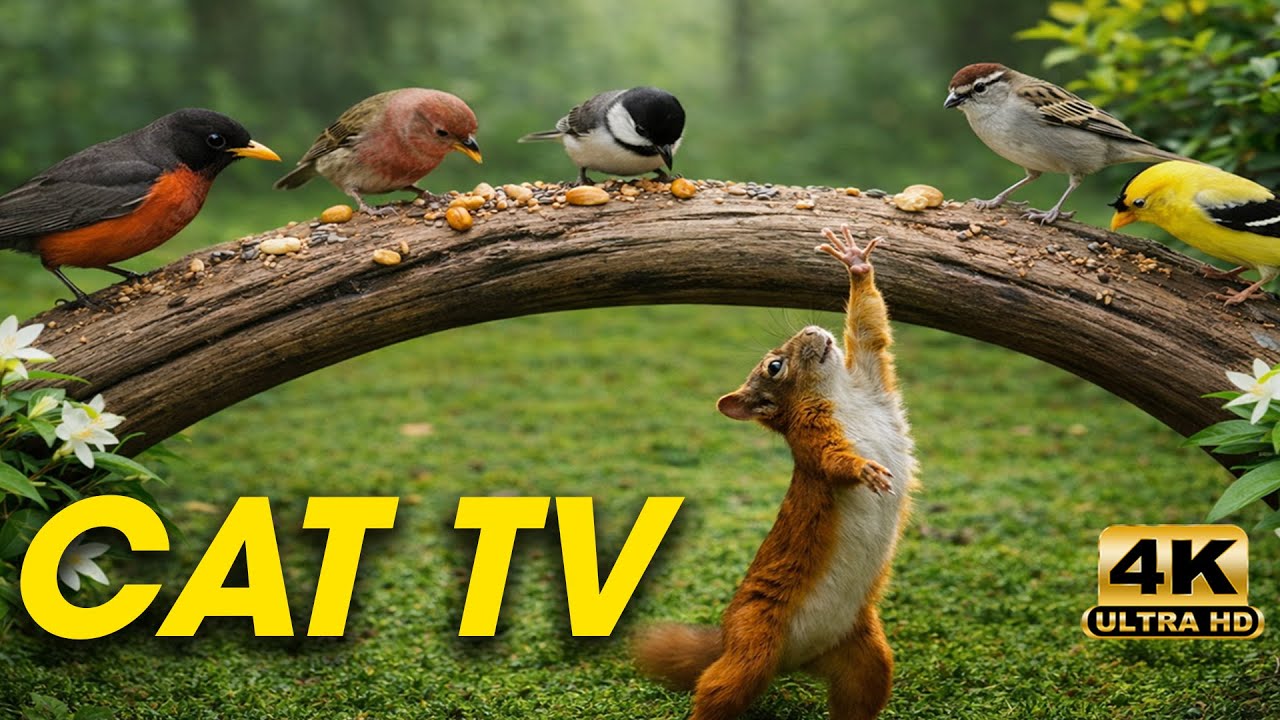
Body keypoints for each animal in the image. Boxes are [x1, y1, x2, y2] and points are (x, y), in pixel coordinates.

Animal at [633, 225, 916, 720]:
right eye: (775, 365)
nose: (810, 331)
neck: (842, 395)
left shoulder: (872, 377)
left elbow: (870, 331)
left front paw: (855, 262)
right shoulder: (813, 438)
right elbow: (833, 461)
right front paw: (864, 470)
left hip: (863, 656)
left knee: (860, 691)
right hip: (755, 636)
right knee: (720, 687)